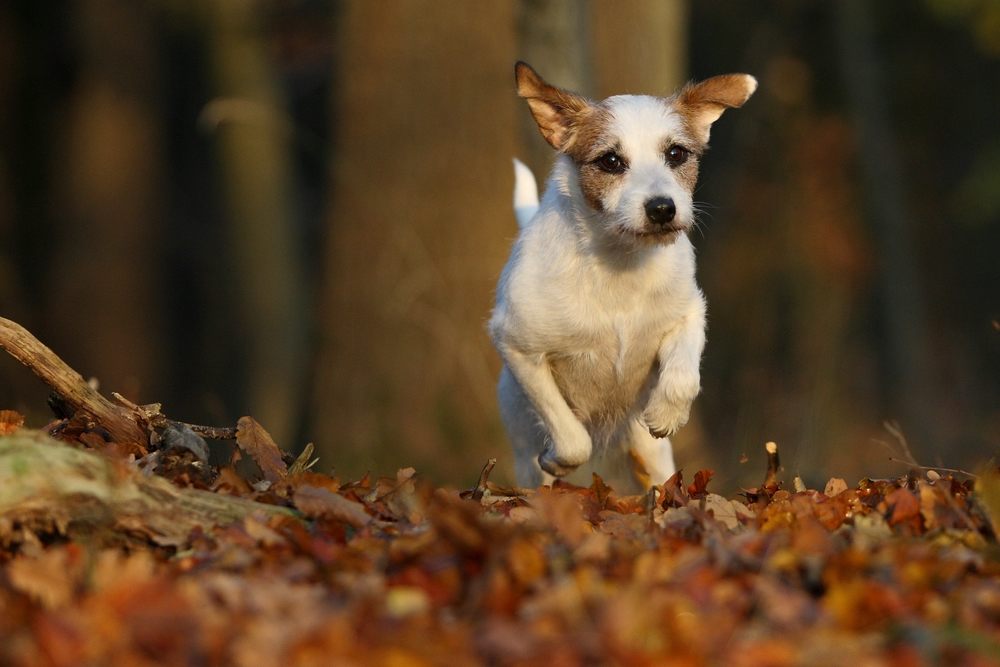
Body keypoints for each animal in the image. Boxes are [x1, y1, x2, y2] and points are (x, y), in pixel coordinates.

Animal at [488, 64, 752, 490]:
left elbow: (685, 374)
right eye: (610, 161)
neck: (621, 263)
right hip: (523, 450)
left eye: (676, 154)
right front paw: (558, 459)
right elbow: (571, 436)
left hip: (651, 454)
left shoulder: (690, 312)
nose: (662, 208)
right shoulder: (517, 347)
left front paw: (666, 413)